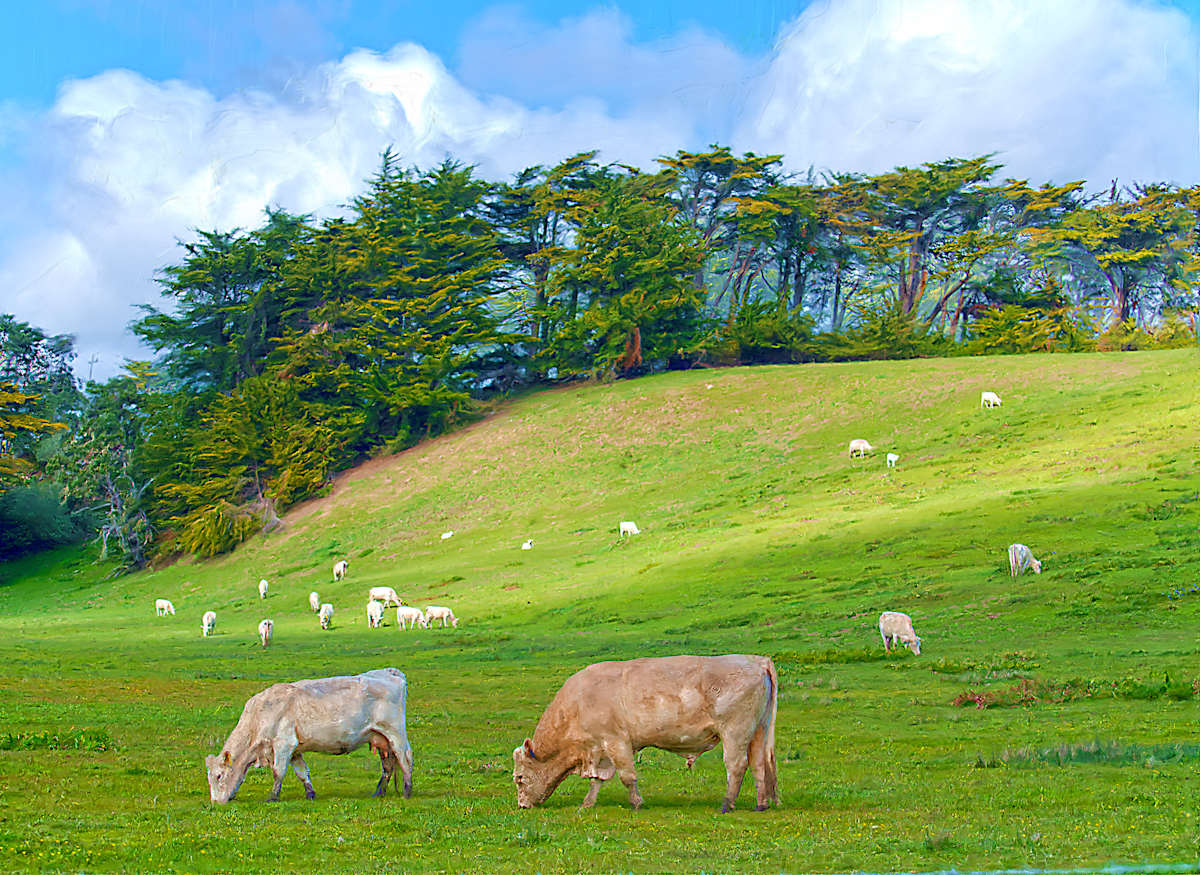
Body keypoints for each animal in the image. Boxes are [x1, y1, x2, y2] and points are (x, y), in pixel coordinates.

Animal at [204, 668, 414, 804]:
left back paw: (407, 791)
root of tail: (390, 672)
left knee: (405, 759)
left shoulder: (283, 743)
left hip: (395, 733)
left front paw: (273, 797)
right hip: (381, 739)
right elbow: (302, 772)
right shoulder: (295, 749)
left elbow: (278, 771)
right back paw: (379, 793)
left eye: (219, 776)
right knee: (387, 766)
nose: (216, 802)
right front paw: (310, 794)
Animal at [512, 654, 778, 813]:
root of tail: (756, 660)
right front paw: (587, 803)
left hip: (735, 732)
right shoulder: (601, 749)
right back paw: (762, 803)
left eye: (519, 778)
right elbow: (598, 780)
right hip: (758, 731)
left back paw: (726, 804)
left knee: (736, 766)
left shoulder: (616, 741)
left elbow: (627, 776)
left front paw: (636, 803)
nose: (522, 806)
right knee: (759, 765)